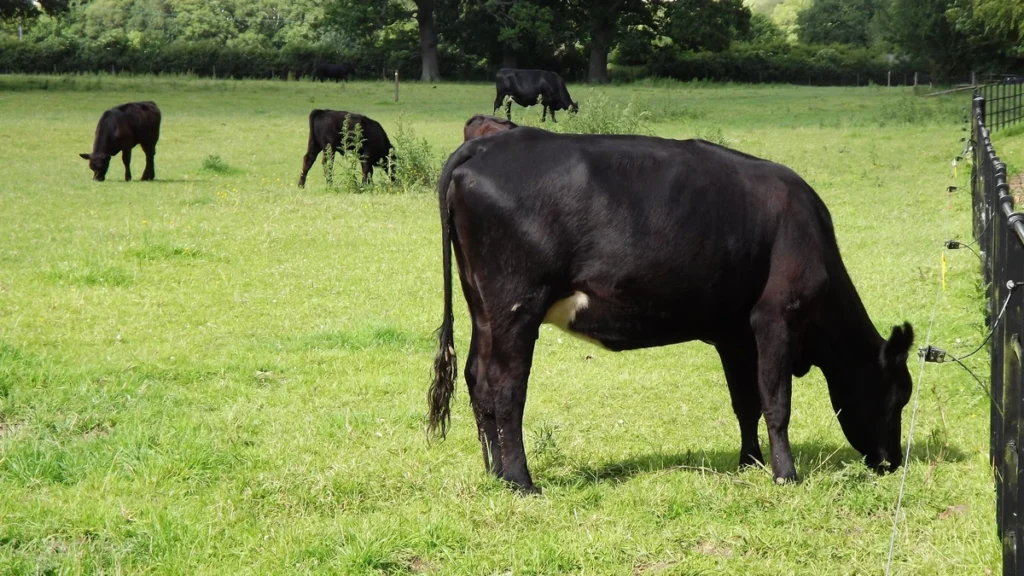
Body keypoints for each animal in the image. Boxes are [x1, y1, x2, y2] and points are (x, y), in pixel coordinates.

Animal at [427, 127, 915, 494]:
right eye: (899, 395)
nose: (891, 462)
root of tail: (487, 146)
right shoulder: (777, 316)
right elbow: (777, 403)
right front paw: (785, 475)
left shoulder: (734, 333)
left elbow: (746, 402)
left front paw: (750, 462)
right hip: (516, 306)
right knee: (505, 387)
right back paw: (521, 481)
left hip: (483, 307)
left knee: (477, 378)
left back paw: (495, 472)